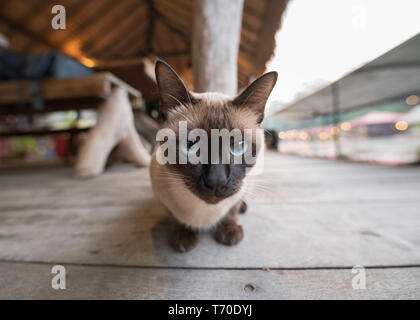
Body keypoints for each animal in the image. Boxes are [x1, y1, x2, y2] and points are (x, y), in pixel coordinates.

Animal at [149, 58, 278, 251]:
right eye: (190, 145)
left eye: (238, 147)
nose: (216, 180)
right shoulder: (162, 194)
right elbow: (175, 216)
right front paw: (183, 235)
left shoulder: (243, 188)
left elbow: (232, 210)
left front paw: (229, 231)